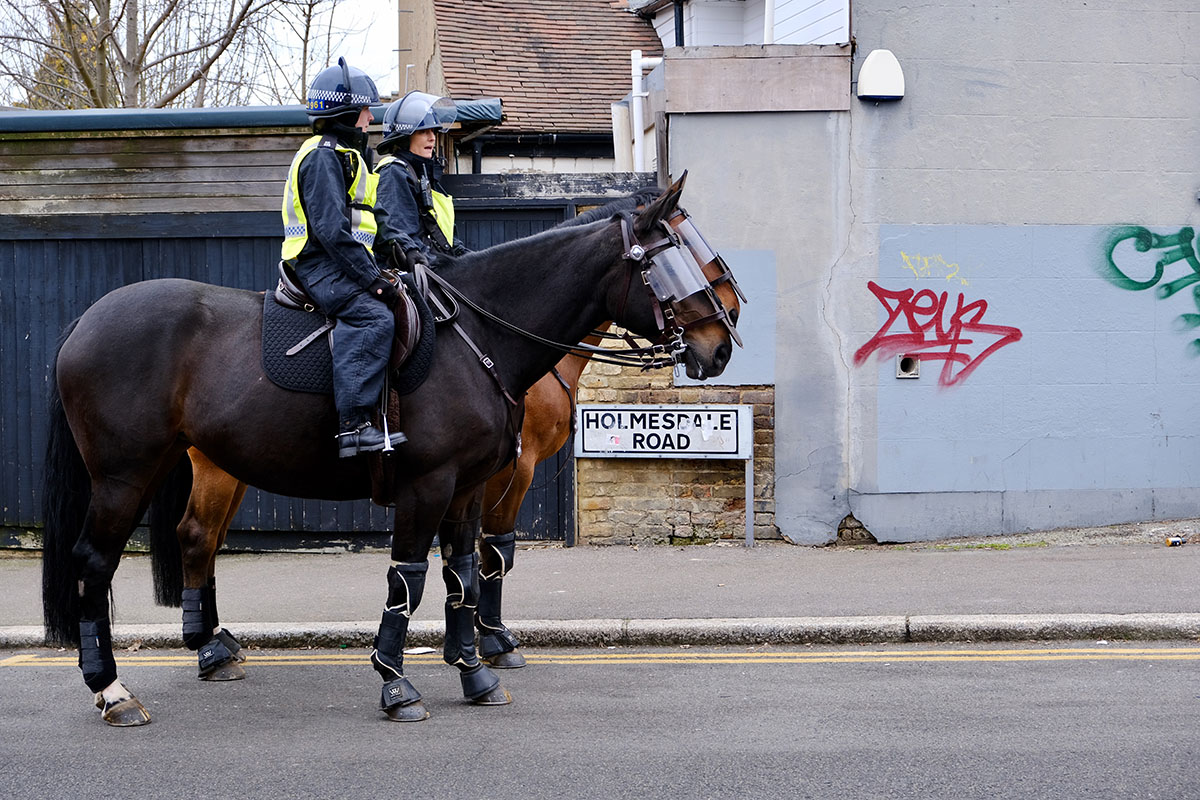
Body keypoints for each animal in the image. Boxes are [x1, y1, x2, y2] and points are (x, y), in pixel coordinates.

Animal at [42, 175, 734, 724]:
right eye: (672, 262)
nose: (721, 344)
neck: (475, 332)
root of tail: (84, 320)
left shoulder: (468, 485)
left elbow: (465, 574)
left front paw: (474, 671)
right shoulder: (436, 483)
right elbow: (413, 577)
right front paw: (400, 682)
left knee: (193, 539)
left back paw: (209, 649)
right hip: (124, 476)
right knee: (94, 563)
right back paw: (112, 689)